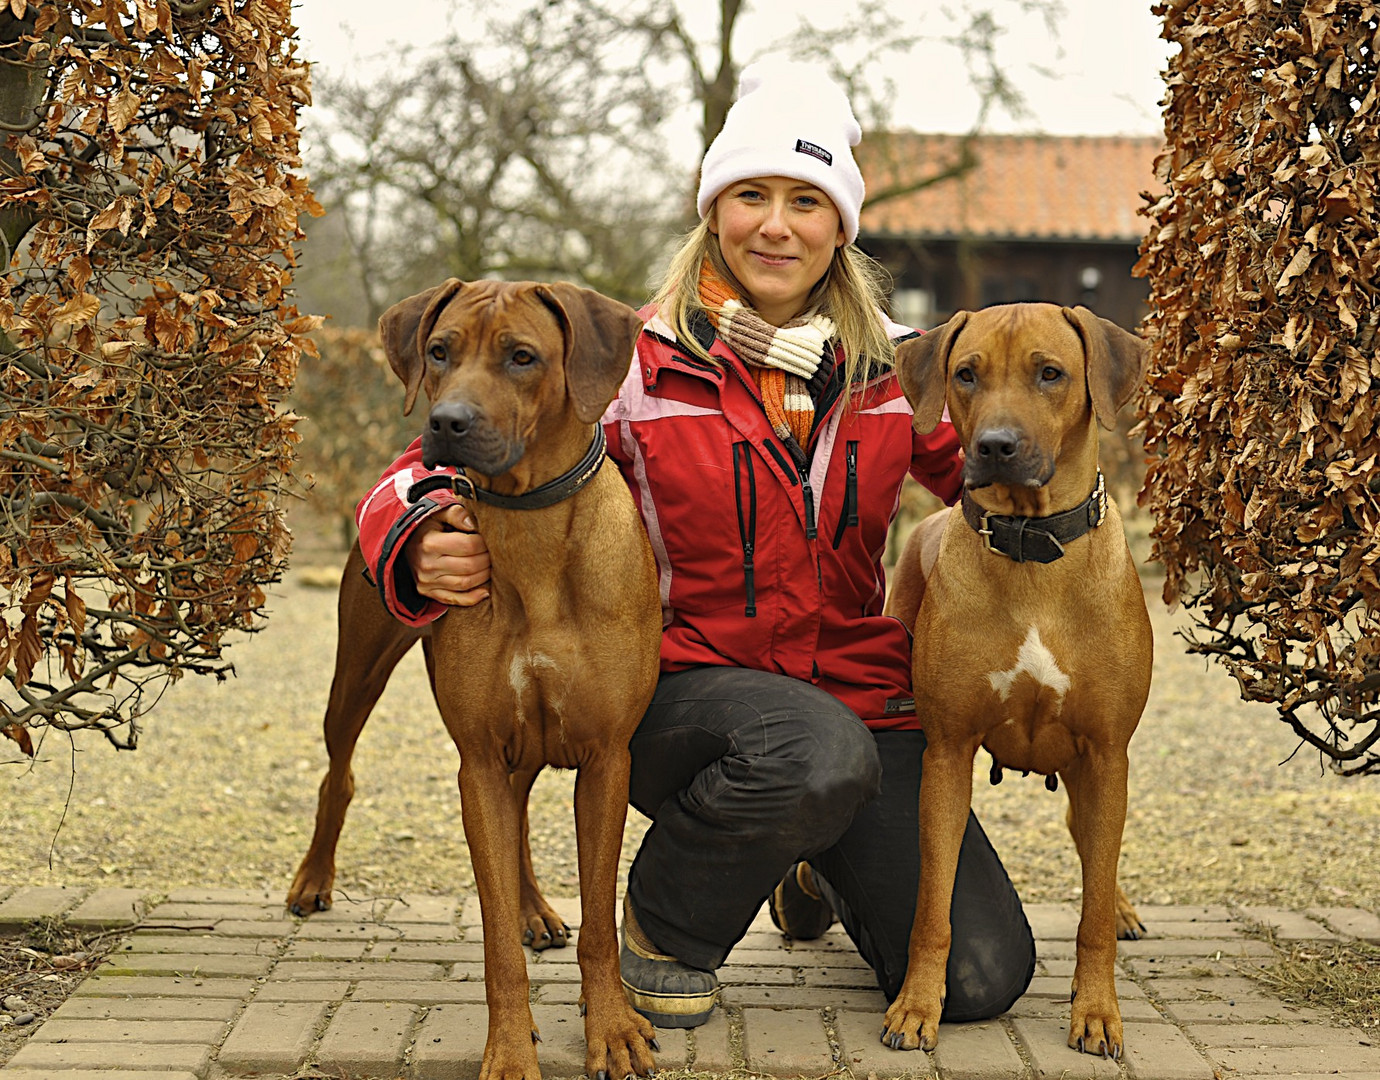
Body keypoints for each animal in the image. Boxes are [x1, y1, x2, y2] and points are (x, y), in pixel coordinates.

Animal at [282, 281, 659, 1080]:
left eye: (522, 357)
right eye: (437, 350)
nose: (445, 423)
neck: (531, 530)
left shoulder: (607, 758)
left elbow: (599, 924)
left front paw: (612, 1029)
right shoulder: (478, 759)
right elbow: (494, 943)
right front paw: (511, 1049)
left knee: (517, 820)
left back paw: (536, 909)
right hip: (357, 673)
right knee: (340, 773)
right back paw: (313, 879)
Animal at [883, 299, 1153, 1059]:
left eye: (1050, 373)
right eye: (967, 374)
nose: (995, 446)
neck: (1033, 548)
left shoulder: (1106, 752)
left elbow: (1092, 911)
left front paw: (1097, 1012)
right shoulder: (946, 753)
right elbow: (933, 905)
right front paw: (918, 1007)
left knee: (1095, 849)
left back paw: (1122, 906)